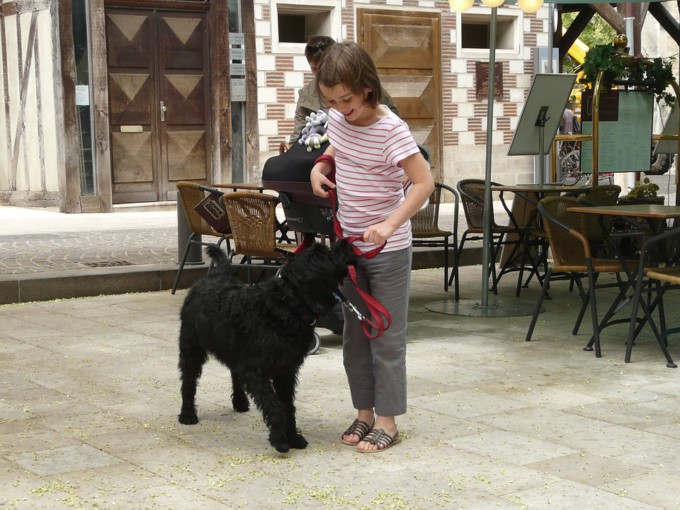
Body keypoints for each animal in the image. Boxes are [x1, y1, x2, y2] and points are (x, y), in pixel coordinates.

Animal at [178, 241, 354, 452]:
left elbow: (288, 406)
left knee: (234, 373)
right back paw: (187, 414)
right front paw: (279, 440)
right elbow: (274, 407)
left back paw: (240, 401)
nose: (347, 242)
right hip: (191, 348)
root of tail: (214, 276)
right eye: (327, 253)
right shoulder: (255, 371)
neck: (286, 307)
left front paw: (294, 437)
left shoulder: (285, 371)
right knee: (188, 381)